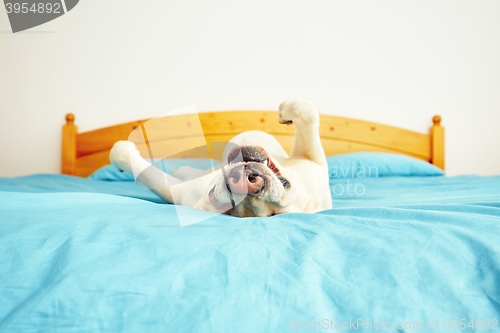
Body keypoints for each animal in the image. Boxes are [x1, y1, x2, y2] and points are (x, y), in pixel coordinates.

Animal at [111, 98, 334, 218]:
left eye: (275, 213)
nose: (248, 183)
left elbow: (307, 114)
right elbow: (306, 109)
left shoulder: (312, 159)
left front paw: (121, 152)